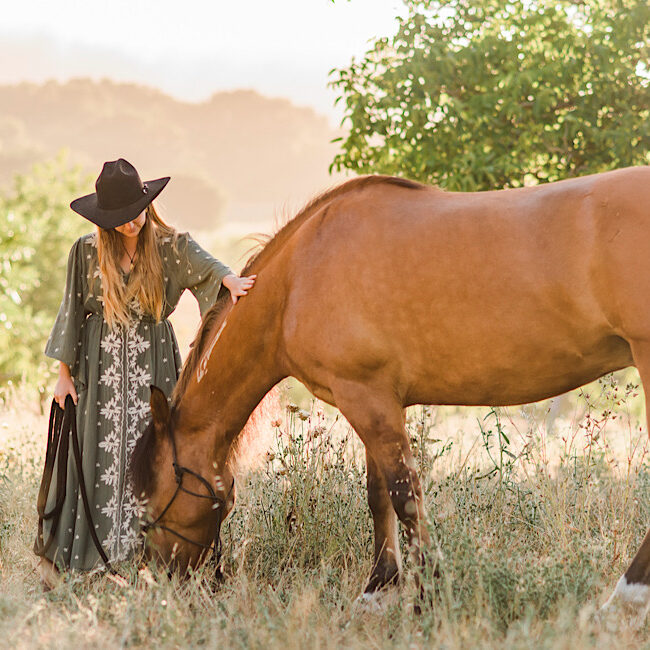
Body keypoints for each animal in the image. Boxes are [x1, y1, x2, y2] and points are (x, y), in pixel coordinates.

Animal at [132, 166, 650, 619]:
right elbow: (378, 494)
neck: (299, 278)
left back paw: (624, 597)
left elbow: (405, 496)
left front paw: (427, 597)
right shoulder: (372, 398)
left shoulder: (366, 397)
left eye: (150, 501)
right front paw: (378, 590)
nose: (159, 580)